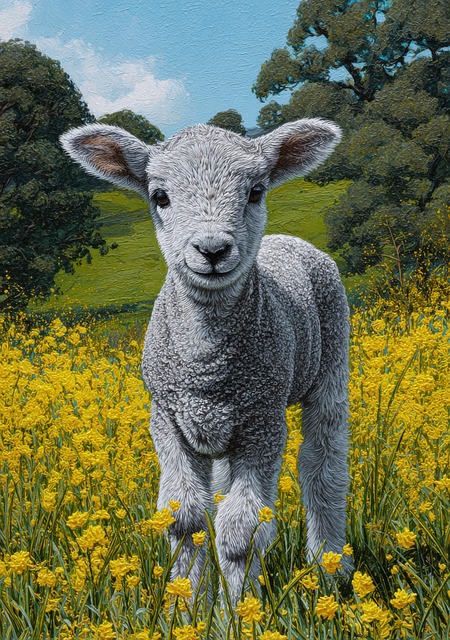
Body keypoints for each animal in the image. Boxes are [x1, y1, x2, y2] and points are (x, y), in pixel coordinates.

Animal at [60, 118, 351, 602]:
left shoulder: (262, 421)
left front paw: (239, 608)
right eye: (160, 196)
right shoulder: (167, 418)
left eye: (256, 191)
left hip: (331, 363)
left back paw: (330, 566)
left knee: (322, 468)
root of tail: (286, 238)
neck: (207, 363)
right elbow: (184, 519)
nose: (212, 250)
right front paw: (188, 604)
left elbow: (241, 530)